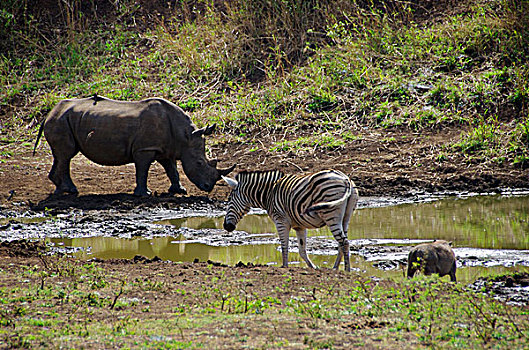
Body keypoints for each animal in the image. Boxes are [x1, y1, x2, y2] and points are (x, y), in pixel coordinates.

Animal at [221, 170, 356, 270]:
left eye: (229, 200)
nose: (226, 226)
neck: (269, 193)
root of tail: (345, 179)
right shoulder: (299, 226)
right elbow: (302, 250)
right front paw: (313, 267)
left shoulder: (280, 221)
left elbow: (284, 245)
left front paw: (284, 266)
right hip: (346, 217)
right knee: (342, 242)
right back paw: (335, 268)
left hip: (330, 215)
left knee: (344, 242)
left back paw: (347, 270)